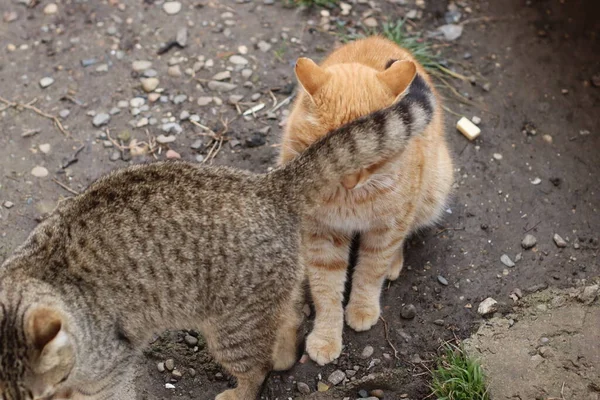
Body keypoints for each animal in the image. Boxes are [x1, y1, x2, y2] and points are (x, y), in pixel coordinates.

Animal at [0, 71, 434, 400]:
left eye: (44, 390)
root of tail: (267, 185)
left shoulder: (110, 369)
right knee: (292, 313)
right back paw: (285, 352)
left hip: (230, 326)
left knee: (255, 368)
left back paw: (244, 387)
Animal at [278, 37, 452, 366]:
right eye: (329, 151)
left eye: (373, 151)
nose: (349, 181)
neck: (349, 198)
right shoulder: (321, 233)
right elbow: (326, 290)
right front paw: (326, 337)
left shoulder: (388, 228)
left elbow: (371, 272)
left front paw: (362, 308)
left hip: (430, 194)